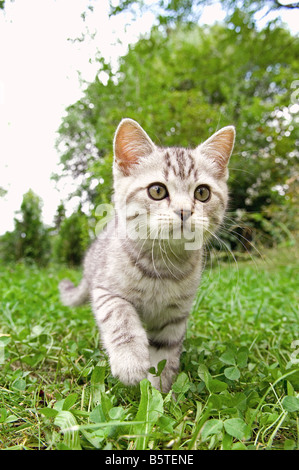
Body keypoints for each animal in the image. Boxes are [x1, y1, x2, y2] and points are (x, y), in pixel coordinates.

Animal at [59, 118, 237, 392]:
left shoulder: (175, 317)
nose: (184, 211)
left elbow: (165, 354)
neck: (163, 266)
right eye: (157, 191)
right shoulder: (106, 291)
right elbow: (120, 317)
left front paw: (160, 392)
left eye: (202, 193)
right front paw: (131, 361)